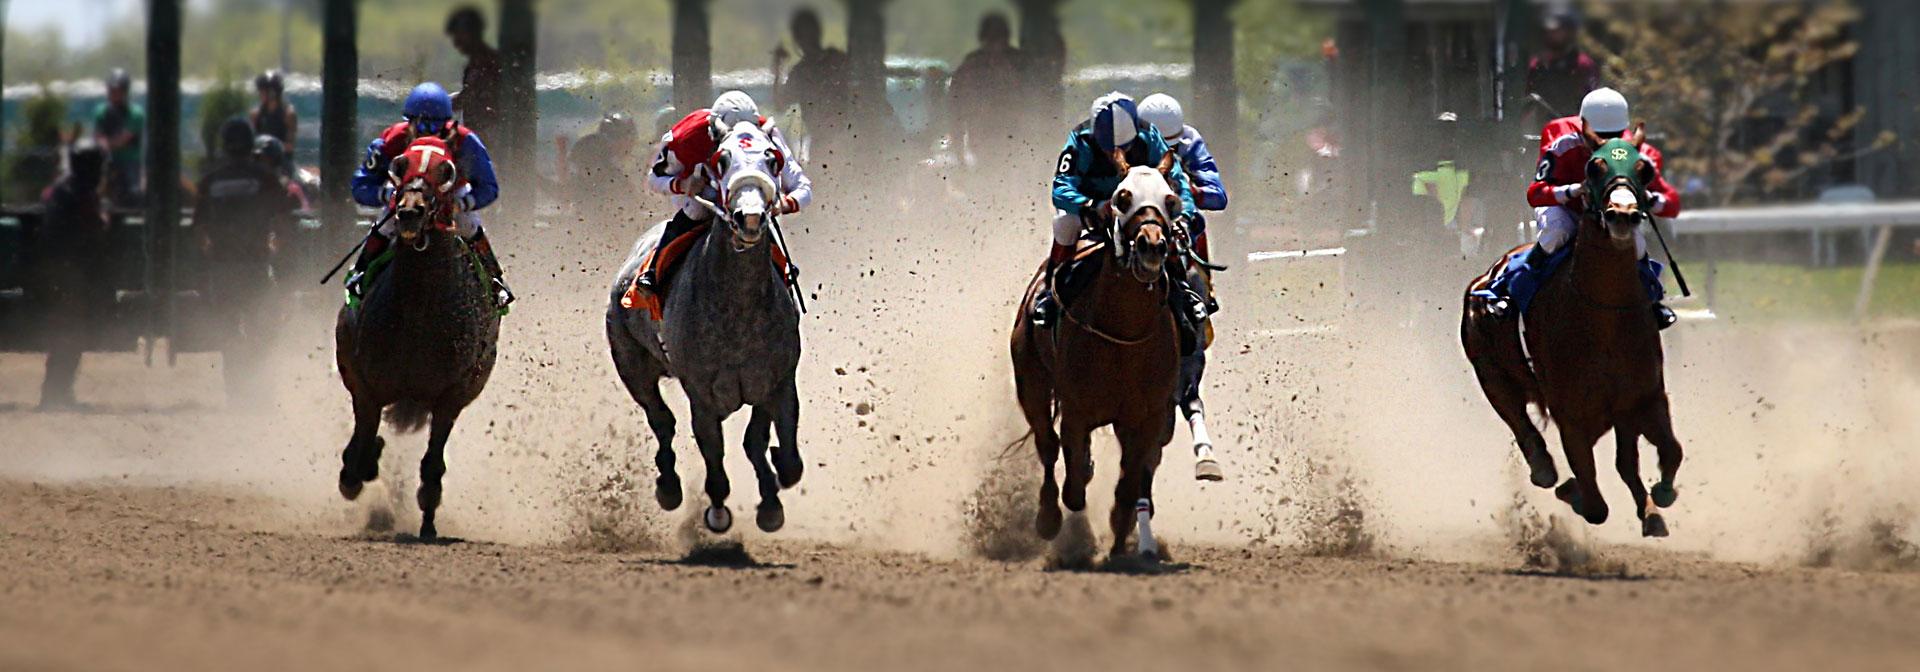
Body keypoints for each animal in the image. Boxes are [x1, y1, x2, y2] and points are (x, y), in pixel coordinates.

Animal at [337, 138, 503, 541]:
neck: (418, 315)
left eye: (447, 172)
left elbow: (432, 464)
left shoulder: (451, 397)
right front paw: (357, 470)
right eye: (399, 166)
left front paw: (428, 520)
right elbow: (360, 446)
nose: (409, 212)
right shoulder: (366, 387)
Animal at [606, 116, 802, 533]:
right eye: (721, 159)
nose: (750, 217)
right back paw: (668, 487)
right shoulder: (701, 392)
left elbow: (775, 450)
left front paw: (771, 499)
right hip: (630, 362)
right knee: (661, 421)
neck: (738, 309)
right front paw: (717, 508)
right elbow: (713, 448)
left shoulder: (777, 381)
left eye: (772, 158)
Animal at [1013, 154, 1190, 560]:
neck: (1123, 334)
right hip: (1030, 382)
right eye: (1123, 197)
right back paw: (1048, 519)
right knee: (1047, 445)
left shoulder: (1149, 416)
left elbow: (1129, 483)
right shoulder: (1076, 410)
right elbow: (1074, 485)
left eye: (1170, 199)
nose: (1151, 246)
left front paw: (1123, 539)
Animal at [1466, 124, 1681, 533]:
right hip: (1492, 375)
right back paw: (1545, 470)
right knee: (1521, 424)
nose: (1622, 214)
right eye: (1593, 167)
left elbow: (1670, 451)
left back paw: (1649, 512)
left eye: (1644, 169)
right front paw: (1573, 492)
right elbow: (1595, 504)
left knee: (1626, 464)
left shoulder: (1644, 398)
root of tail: (1487, 274)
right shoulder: (1573, 415)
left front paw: (1660, 496)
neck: (1603, 318)